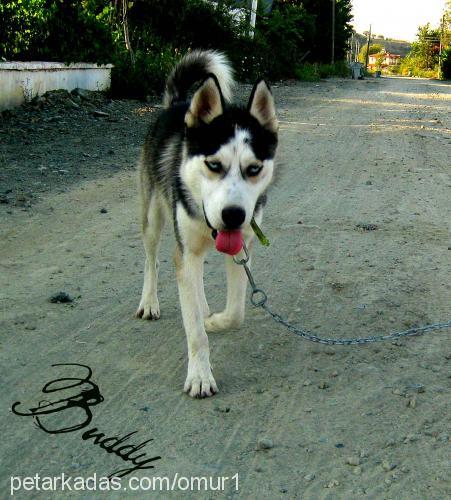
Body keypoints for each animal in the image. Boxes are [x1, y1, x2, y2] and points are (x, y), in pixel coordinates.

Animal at [136, 48, 278, 396]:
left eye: (254, 169)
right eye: (214, 165)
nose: (233, 215)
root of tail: (177, 104)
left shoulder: (241, 251)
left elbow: (237, 312)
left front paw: (214, 320)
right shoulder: (185, 250)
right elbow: (195, 333)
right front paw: (200, 375)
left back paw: (202, 309)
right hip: (154, 218)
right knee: (151, 260)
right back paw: (149, 302)